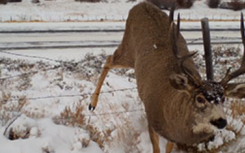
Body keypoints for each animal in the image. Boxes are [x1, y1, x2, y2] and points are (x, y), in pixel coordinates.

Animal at [88, 1, 245, 153]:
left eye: (223, 98)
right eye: (200, 99)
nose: (221, 121)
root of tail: (141, 4)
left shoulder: (173, 136)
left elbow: (168, 149)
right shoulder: (151, 118)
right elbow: (156, 149)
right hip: (128, 48)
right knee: (109, 59)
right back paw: (92, 104)